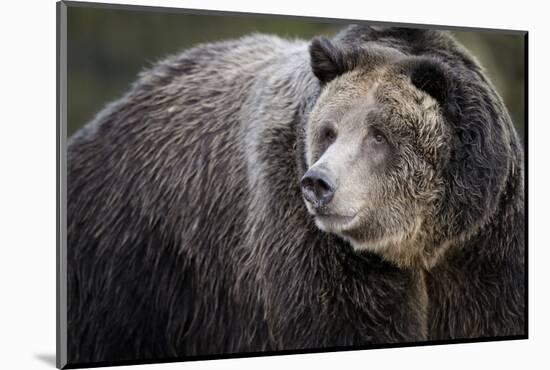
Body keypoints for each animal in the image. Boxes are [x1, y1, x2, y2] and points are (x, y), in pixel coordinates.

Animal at [67, 25, 528, 364]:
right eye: (328, 130)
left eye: (378, 134)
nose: (318, 183)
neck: (417, 244)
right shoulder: (308, 239)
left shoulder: (484, 243)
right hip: (135, 258)